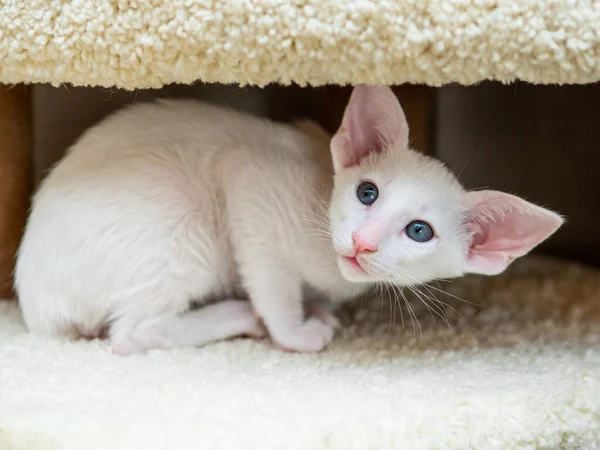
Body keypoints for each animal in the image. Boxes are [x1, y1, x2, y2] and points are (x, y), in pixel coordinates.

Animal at [15, 85, 568, 356]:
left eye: (419, 232)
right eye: (368, 193)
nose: (362, 241)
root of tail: (34, 302)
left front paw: (319, 307)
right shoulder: (249, 182)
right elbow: (273, 283)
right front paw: (295, 329)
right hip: (182, 220)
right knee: (131, 334)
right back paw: (240, 315)